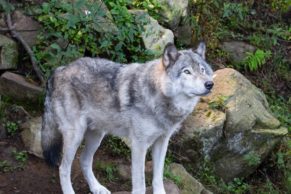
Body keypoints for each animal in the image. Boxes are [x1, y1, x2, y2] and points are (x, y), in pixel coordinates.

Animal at [41, 42, 214, 194]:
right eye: (187, 72)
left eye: (203, 70)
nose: (210, 84)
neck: (158, 97)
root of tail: (60, 70)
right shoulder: (139, 145)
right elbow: (140, 184)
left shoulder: (162, 142)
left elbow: (158, 178)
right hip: (75, 136)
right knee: (63, 168)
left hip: (97, 136)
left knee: (84, 160)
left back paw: (97, 188)